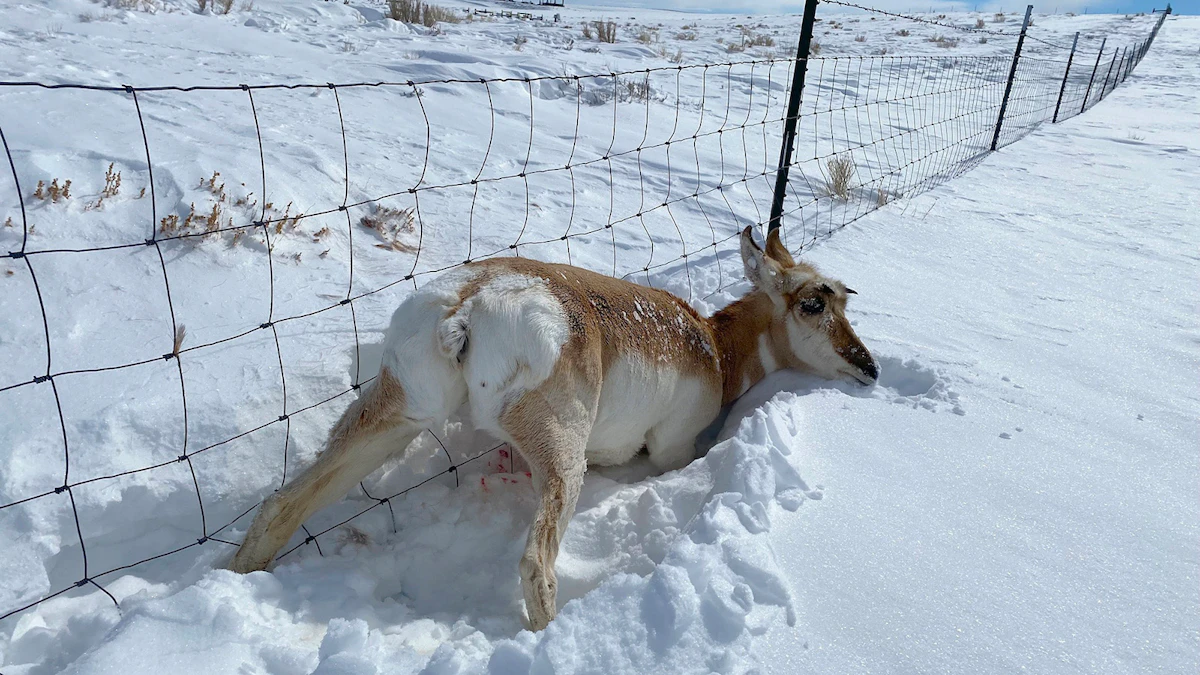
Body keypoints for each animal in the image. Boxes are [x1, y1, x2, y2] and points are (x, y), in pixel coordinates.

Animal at [229, 226, 878, 630]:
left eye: (846, 297)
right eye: (815, 302)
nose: (870, 369)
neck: (714, 347)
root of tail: (471, 300)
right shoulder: (670, 451)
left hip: (394, 414)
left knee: (281, 505)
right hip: (564, 457)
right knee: (536, 565)